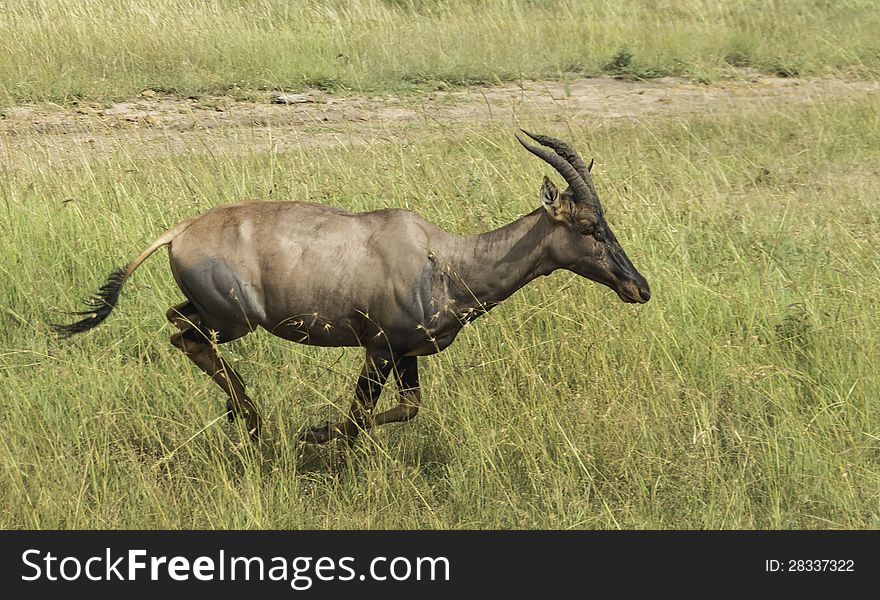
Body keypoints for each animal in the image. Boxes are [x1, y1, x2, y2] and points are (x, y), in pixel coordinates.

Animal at [51, 134, 648, 448]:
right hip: (234, 320)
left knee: (179, 326)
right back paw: (251, 419)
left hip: (215, 314)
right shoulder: (379, 348)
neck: (443, 258)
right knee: (185, 337)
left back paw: (243, 417)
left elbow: (408, 408)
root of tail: (179, 231)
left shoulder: (406, 354)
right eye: (589, 226)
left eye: (606, 222)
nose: (638, 288)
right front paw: (317, 434)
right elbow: (360, 415)